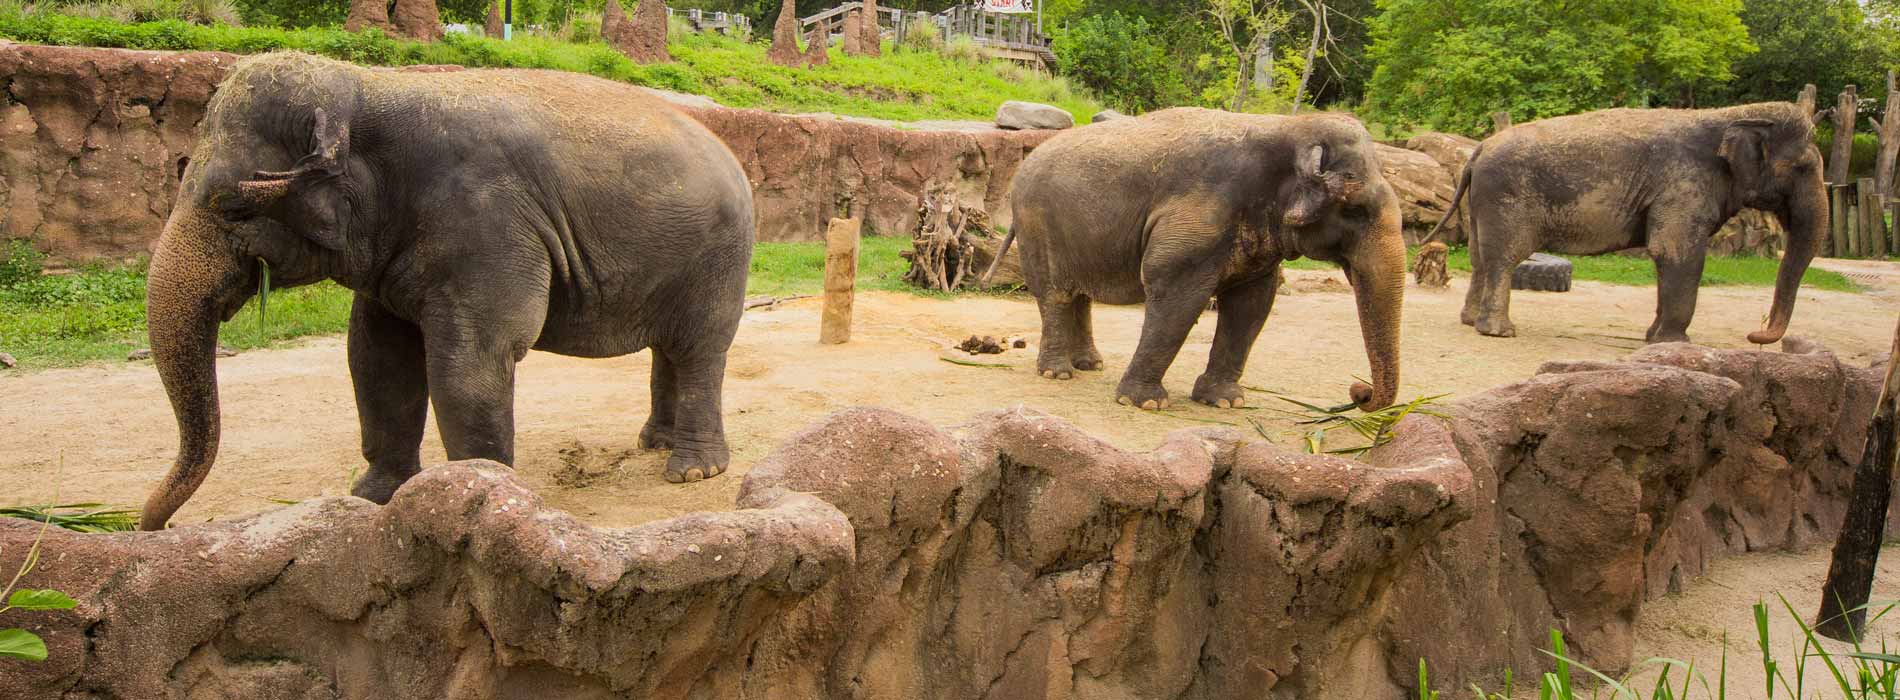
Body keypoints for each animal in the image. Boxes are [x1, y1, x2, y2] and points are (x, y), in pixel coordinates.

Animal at [139, 52, 754, 530]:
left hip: (719, 260)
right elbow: (376, 358)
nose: (156, 526)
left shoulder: (487, 223)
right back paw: (655, 444)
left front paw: (485, 493)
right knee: (669, 349)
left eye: (233, 207)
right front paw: (373, 498)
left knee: (700, 350)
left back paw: (692, 470)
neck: (369, 88)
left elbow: (471, 363)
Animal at [1000, 107, 1406, 412]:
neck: (1285, 126)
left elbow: (1251, 306)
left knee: (1080, 295)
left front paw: (1224, 403)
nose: (1359, 392)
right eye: (1355, 210)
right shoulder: (1195, 220)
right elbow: (1177, 297)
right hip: (1036, 223)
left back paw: (1089, 365)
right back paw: (1058, 374)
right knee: (1054, 294)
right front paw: (1144, 404)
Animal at [1425, 102, 1825, 343]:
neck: (1730, 115)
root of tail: (1479, 149)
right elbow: (1677, 252)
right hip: (1505, 197)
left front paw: (1652, 339)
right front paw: (1674, 344)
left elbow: (1667, 257)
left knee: (1479, 258)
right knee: (1504, 258)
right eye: (1803, 168)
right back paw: (1500, 332)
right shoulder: (1682, 184)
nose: (1754, 335)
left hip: (1482, 200)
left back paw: (1471, 322)